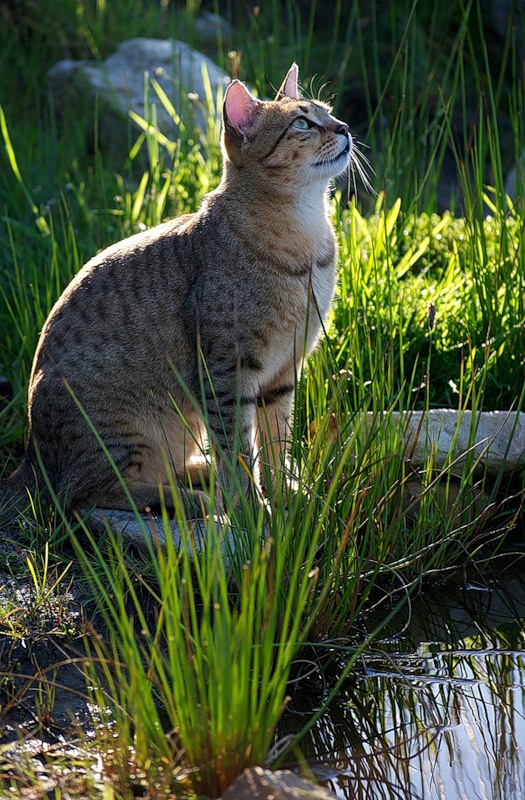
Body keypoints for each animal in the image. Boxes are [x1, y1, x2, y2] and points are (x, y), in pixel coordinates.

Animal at [2, 61, 352, 512]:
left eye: (328, 112)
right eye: (302, 123)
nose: (345, 127)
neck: (306, 240)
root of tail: (30, 460)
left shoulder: (283, 370)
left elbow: (277, 441)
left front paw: (286, 493)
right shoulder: (227, 371)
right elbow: (239, 447)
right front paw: (253, 508)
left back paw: (202, 475)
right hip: (125, 428)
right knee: (87, 494)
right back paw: (194, 499)